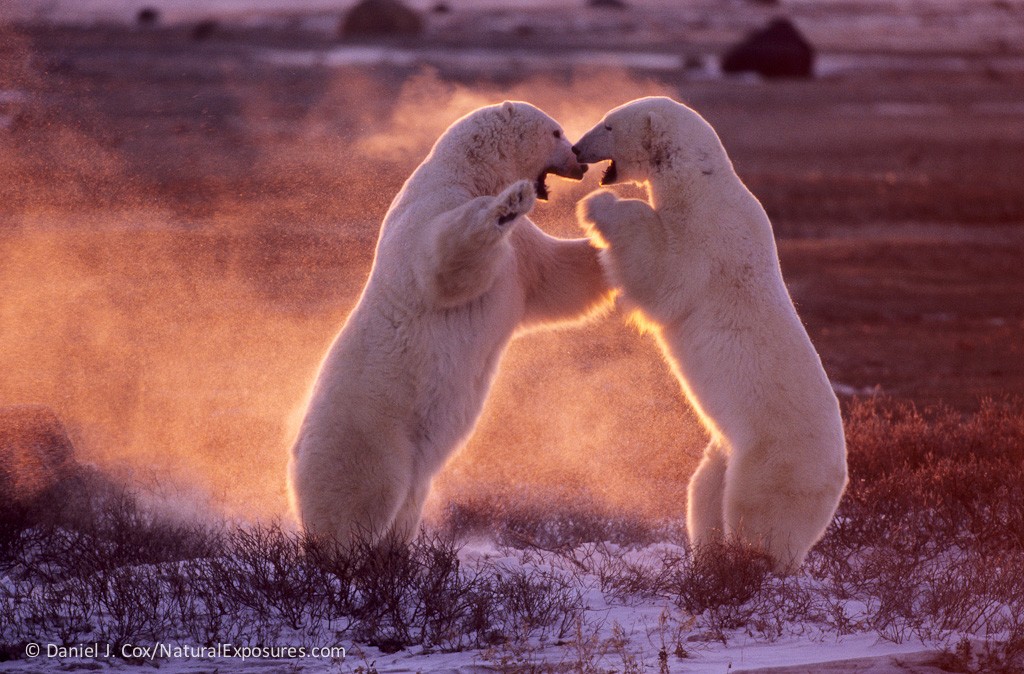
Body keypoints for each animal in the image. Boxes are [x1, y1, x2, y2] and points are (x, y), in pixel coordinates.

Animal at [288, 101, 612, 548]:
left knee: (404, 511)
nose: (580, 162)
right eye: (556, 132)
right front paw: (510, 202)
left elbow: (562, 276)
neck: (467, 172)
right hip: (368, 435)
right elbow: (446, 262)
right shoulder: (431, 212)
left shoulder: (524, 254)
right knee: (360, 501)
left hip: (409, 469)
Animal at [573, 96, 847, 572]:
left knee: (754, 512)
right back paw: (705, 557)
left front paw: (598, 205)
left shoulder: (708, 237)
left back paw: (747, 562)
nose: (575, 147)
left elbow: (665, 277)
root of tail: (839, 478)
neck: (701, 184)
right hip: (726, 447)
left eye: (607, 125)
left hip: (775, 457)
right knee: (703, 492)